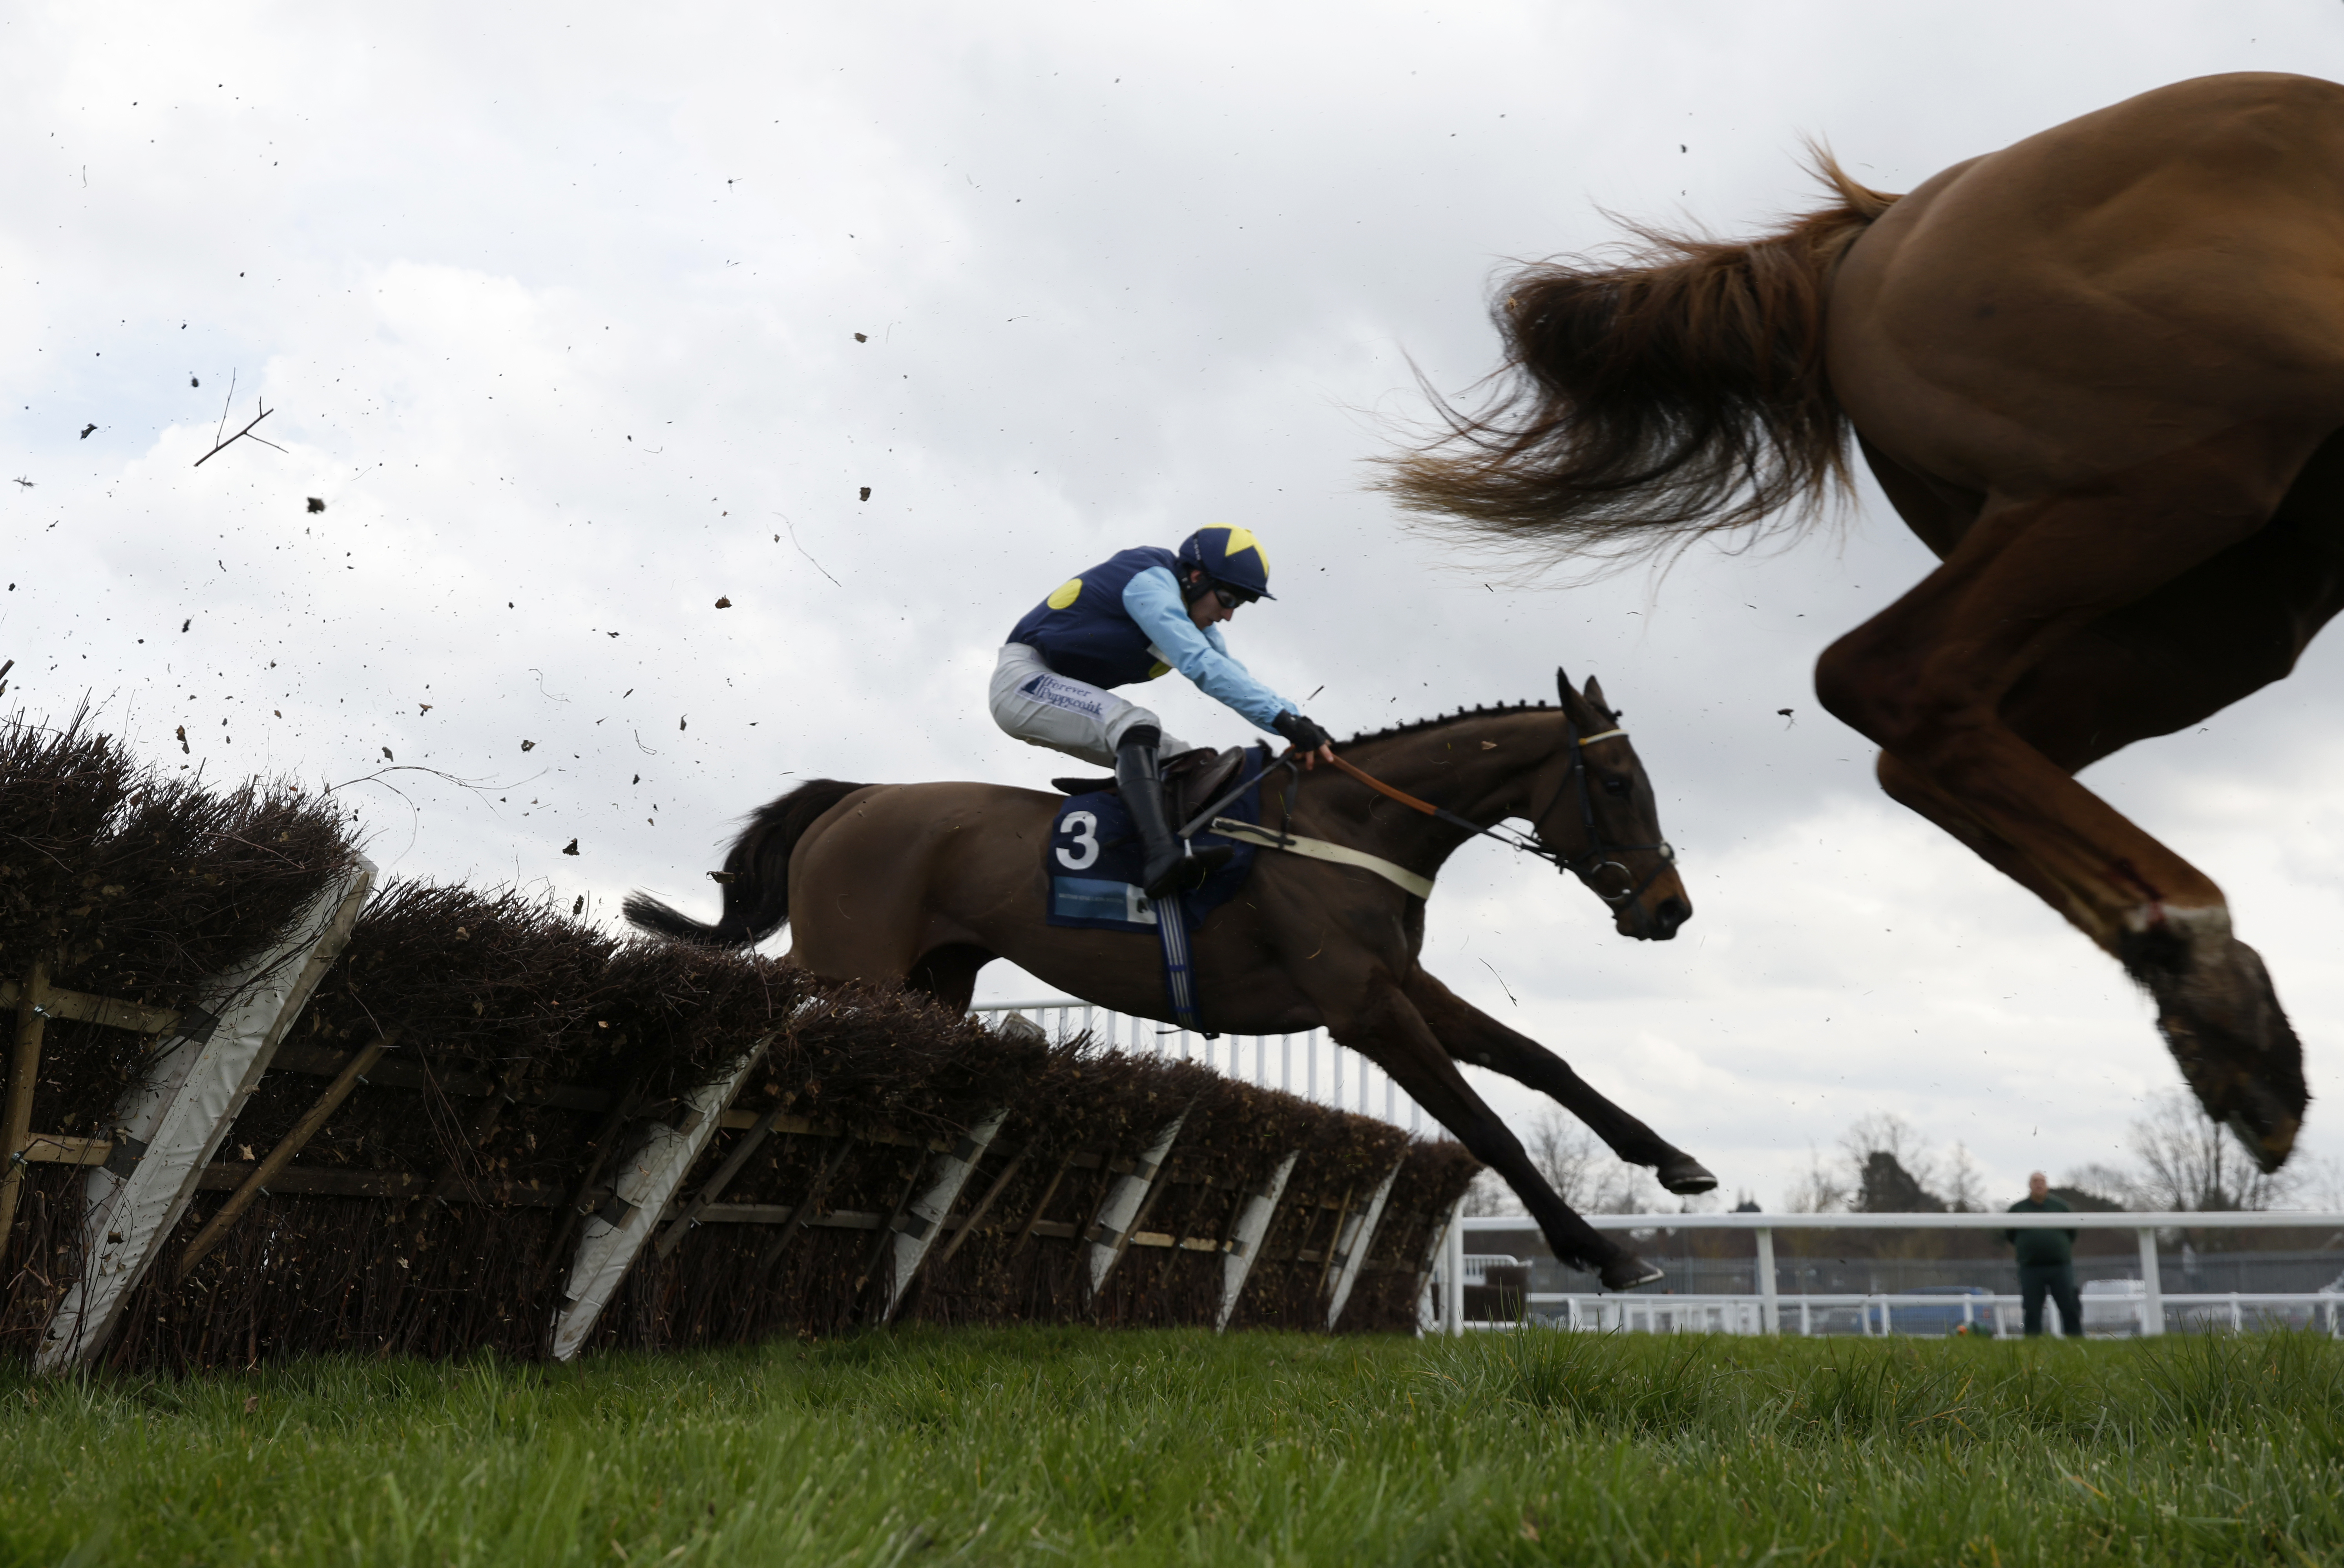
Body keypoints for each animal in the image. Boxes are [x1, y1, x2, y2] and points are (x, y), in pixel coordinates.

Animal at [633, 670, 1706, 1284]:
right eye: (1617, 784)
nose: (1669, 908)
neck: (1350, 828)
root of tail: (852, 799)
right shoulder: (1361, 1006)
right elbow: (1485, 1124)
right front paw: (1602, 1249)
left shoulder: (1404, 982)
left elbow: (1541, 1061)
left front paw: (1673, 1160)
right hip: (851, 967)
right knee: (780, 1026)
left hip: (929, 986)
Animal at [1378, 76, 2335, 1172]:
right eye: (1615, 787)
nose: (1667, 906)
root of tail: (1883, 220)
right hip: (2179, 463)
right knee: (1887, 680)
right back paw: (2210, 975)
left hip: (2226, 600)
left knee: (1941, 743)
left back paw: (2218, 1014)